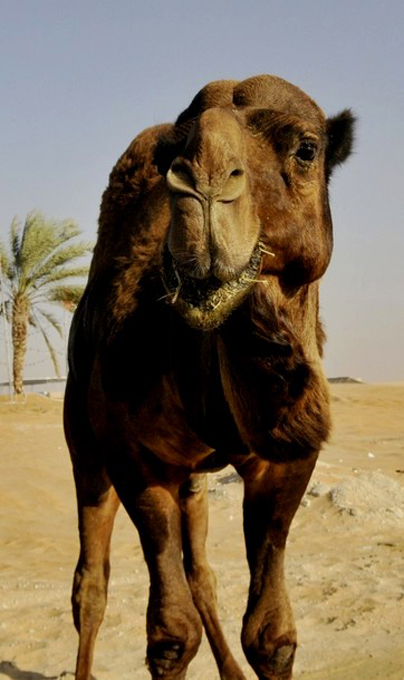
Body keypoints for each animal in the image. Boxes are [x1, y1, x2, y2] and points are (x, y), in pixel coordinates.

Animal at [63, 74, 354, 680]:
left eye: (306, 148)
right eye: (174, 153)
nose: (202, 186)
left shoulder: (286, 458)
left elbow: (271, 635)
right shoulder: (131, 455)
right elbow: (171, 636)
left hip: (192, 478)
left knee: (201, 573)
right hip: (84, 438)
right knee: (90, 583)